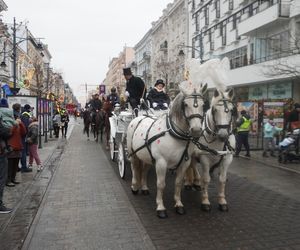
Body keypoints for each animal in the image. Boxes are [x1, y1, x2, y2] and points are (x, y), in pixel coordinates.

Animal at [126, 79, 209, 218]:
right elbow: (161, 184)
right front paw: (160, 207)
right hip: (133, 153)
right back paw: (134, 187)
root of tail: (140, 116)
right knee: (134, 167)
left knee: (144, 170)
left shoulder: (184, 163)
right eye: (185, 104)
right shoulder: (161, 162)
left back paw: (144, 188)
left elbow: (178, 183)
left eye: (204, 105)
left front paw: (179, 205)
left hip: (147, 156)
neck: (174, 134)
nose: (197, 130)